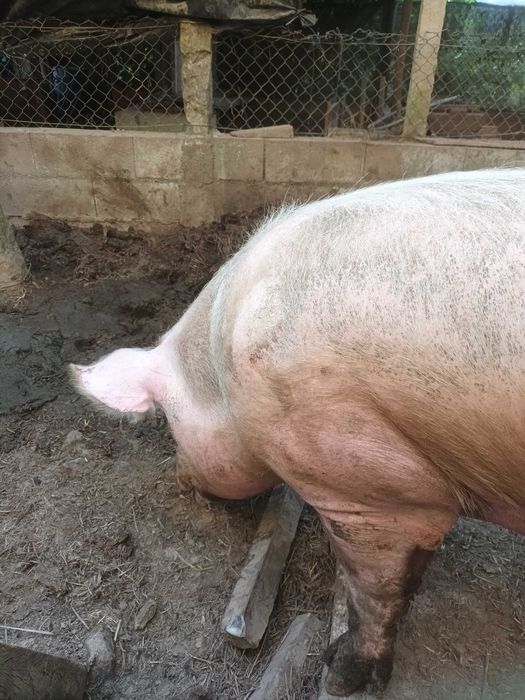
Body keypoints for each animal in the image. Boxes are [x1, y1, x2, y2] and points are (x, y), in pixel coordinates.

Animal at [70, 168, 525, 696]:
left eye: (168, 422)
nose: (179, 480)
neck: (223, 370)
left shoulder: (369, 489)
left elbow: (376, 593)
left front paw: (340, 673)